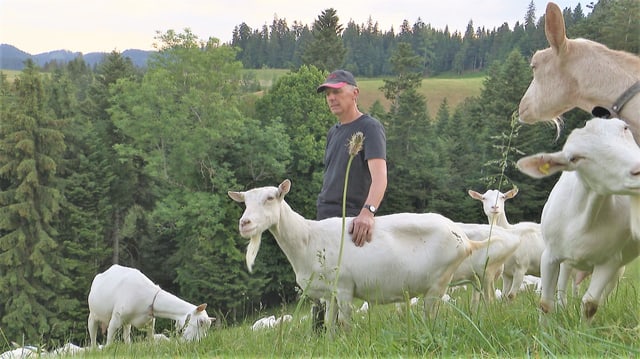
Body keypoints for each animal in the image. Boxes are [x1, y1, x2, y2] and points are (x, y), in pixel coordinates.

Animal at [87, 266, 215, 348]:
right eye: (201, 322)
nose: (197, 343)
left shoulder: (150, 321)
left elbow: (151, 339)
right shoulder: (116, 318)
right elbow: (109, 341)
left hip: (127, 323)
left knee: (126, 335)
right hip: (93, 314)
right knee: (92, 333)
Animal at [228, 180, 488, 330]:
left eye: (270, 198)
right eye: (244, 202)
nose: (244, 223)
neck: (308, 238)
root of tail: (465, 239)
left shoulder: (344, 287)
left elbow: (345, 323)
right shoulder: (330, 293)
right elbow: (330, 324)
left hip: (439, 282)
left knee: (431, 314)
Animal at [516, 118, 640, 320]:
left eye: (625, 128)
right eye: (574, 158)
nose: (639, 170)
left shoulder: (610, 260)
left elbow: (590, 304)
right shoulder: (549, 255)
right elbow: (545, 304)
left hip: (617, 270)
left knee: (604, 293)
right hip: (568, 263)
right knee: (563, 288)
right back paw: (563, 308)